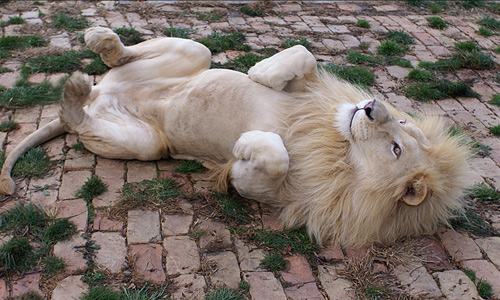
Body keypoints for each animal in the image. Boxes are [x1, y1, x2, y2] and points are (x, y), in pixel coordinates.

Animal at [0, 27, 470, 245]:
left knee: (78, 119)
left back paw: (74, 92)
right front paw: (261, 71)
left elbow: (273, 157)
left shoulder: (271, 193)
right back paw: (101, 39)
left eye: (396, 148)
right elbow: (303, 53)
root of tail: (102, 95)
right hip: (194, 54)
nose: (371, 106)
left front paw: (245, 145)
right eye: (403, 128)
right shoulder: (309, 92)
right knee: (153, 53)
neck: (335, 146)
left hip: (147, 145)